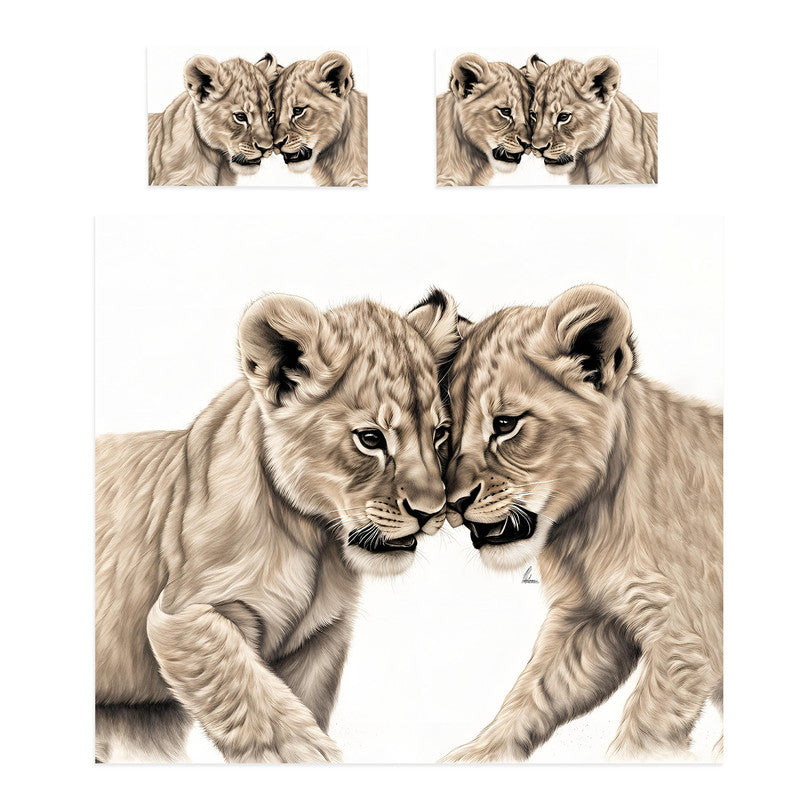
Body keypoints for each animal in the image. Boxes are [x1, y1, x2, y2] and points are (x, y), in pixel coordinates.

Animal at [95, 290, 461, 763]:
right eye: (371, 439)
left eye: (439, 434)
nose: (431, 511)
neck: (314, 540)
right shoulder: (180, 614)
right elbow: (260, 705)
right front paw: (315, 756)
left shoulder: (318, 640)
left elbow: (295, 704)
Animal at [440, 285, 722, 762]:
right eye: (442, 436)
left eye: (505, 424)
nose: (454, 503)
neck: (588, 526)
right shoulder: (590, 619)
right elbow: (533, 693)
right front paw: (475, 755)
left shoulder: (685, 637)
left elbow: (643, 736)